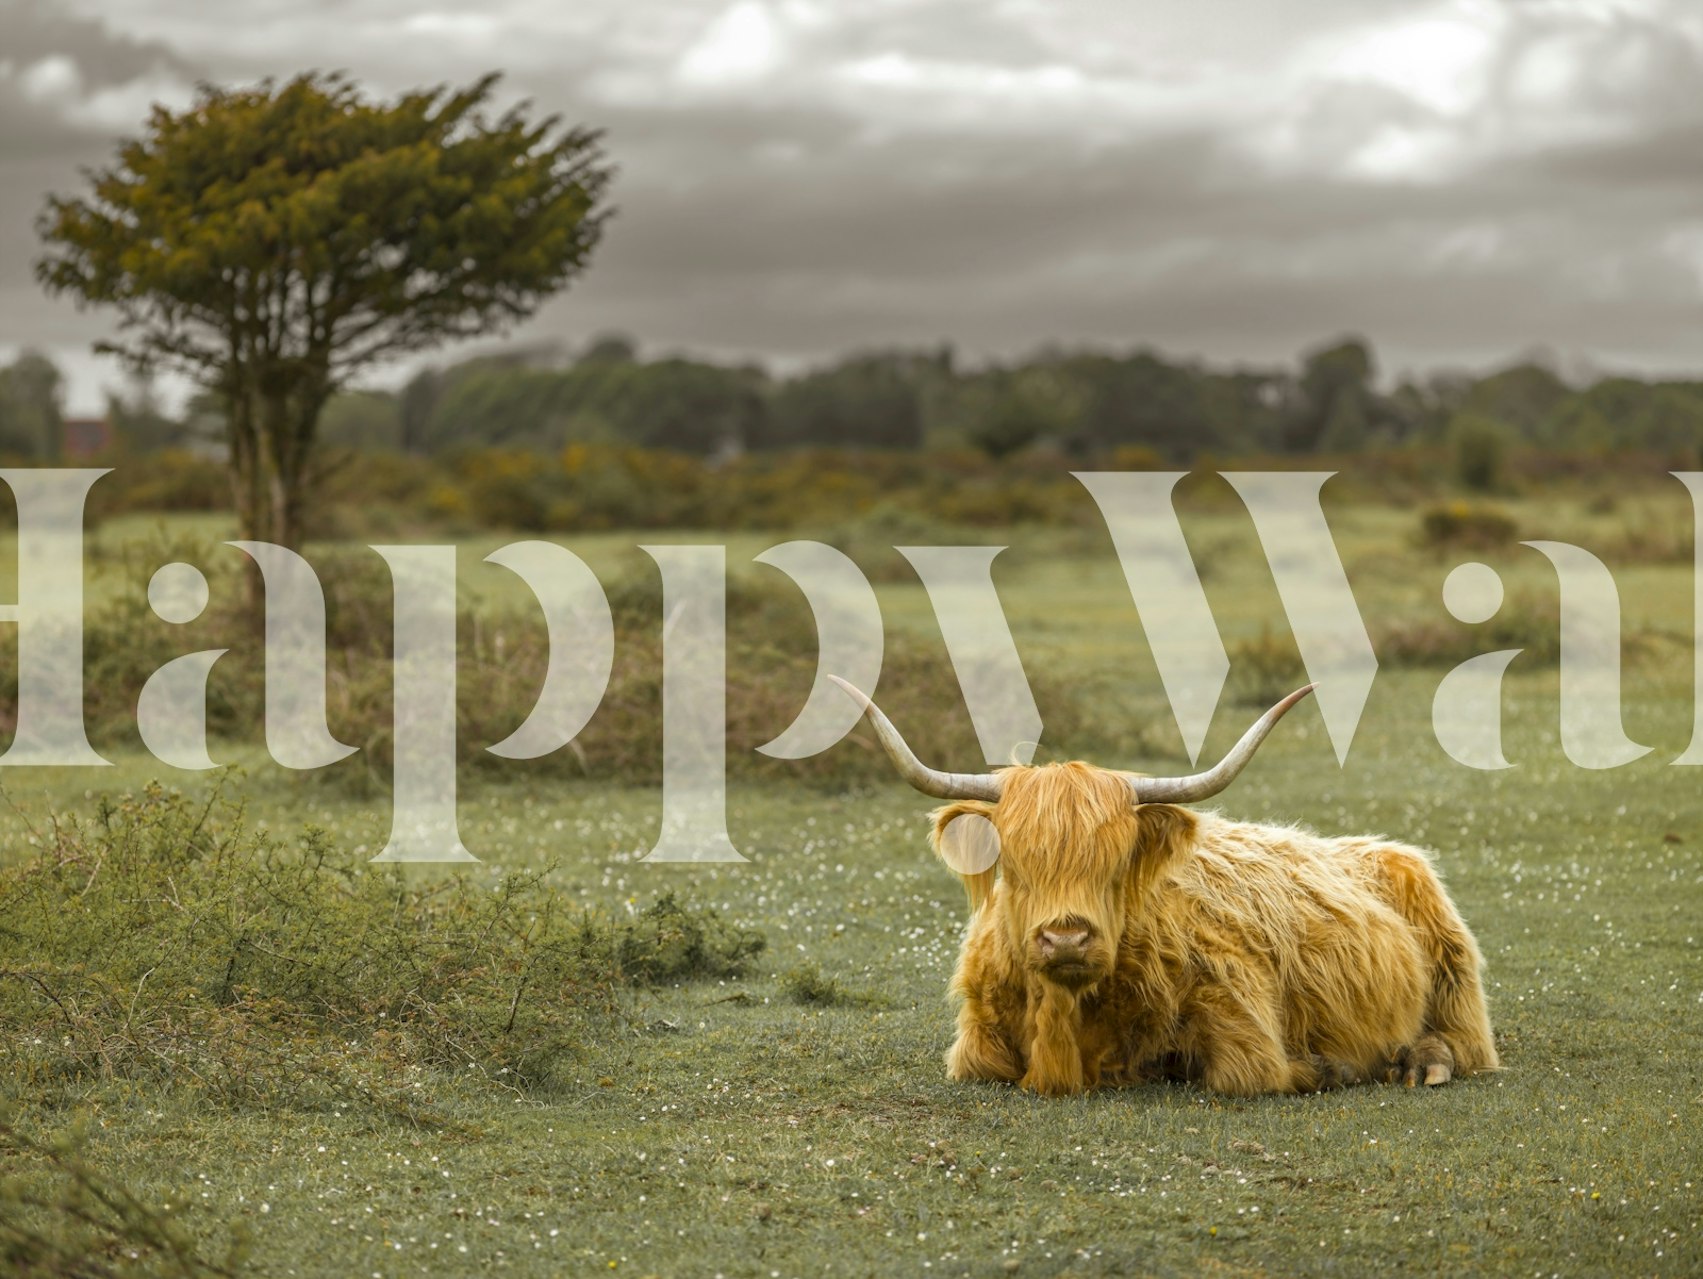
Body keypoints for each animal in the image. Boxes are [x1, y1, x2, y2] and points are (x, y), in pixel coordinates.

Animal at [830, 677, 1498, 1098]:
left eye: (1117, 862)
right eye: (1015, 864)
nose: (1066, 939)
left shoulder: (1244, 1026)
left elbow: (1246, 1076)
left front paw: (1329, 1068)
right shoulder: (974, 1049)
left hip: (1454, 978)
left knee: (1464, 1047)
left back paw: (1417, 1064)